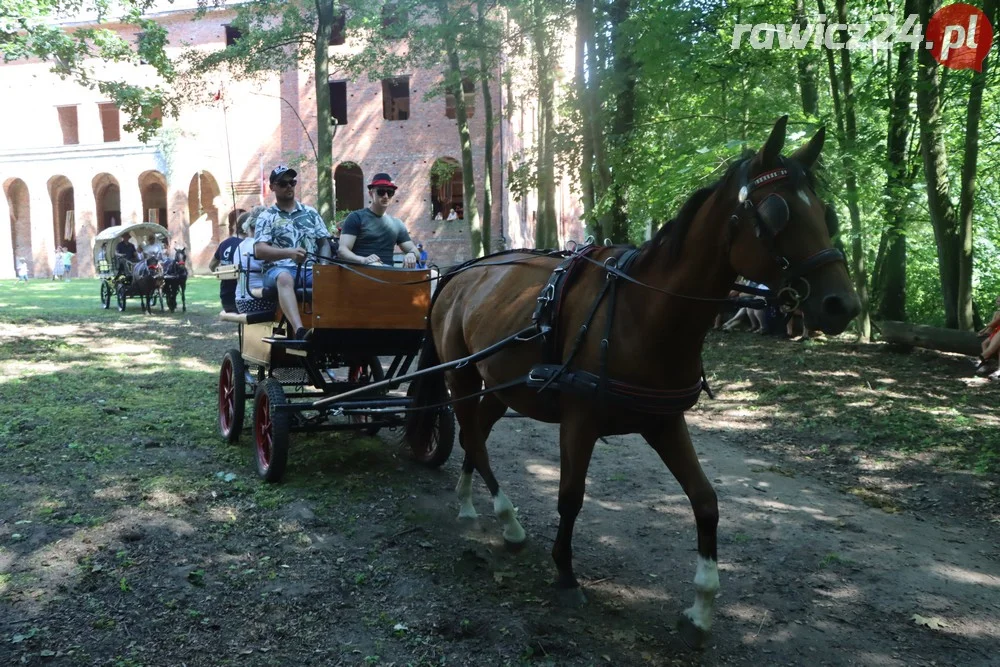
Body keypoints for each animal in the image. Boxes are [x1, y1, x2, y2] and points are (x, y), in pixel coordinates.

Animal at [404, 117, 860, 648]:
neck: (645, 312)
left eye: (825, 212)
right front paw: (565, 573)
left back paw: (468, 504)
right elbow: (570, 495)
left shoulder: (665, 422)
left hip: (499, 385)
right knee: (473, 437)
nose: (842, 305)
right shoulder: (579, 420)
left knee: (476, 436)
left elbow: (706, 501)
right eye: (776, 212)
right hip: (460, 374)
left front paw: (702, 604)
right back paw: (509, 522)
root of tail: (460, 273)